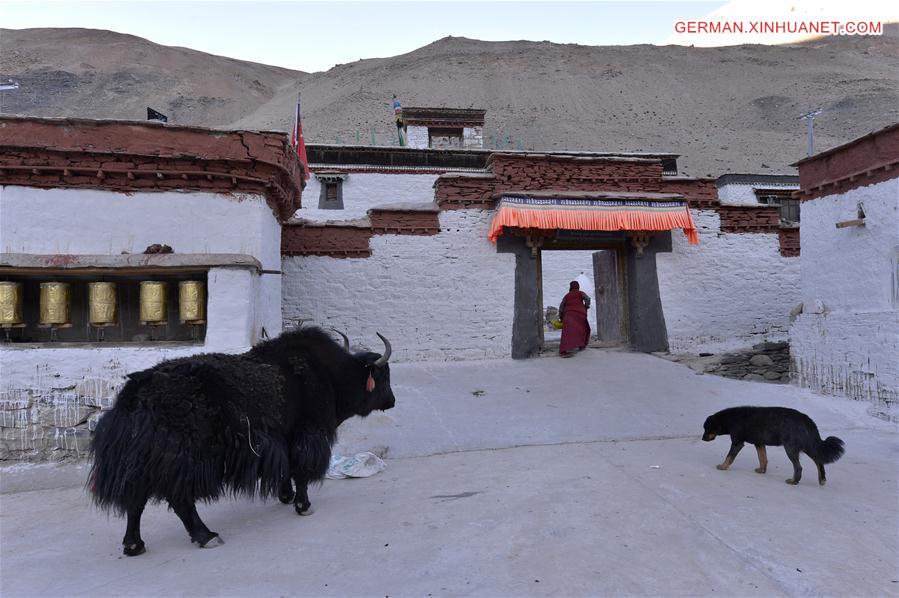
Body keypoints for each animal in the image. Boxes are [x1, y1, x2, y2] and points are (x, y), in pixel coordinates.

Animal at [704, 408, 844, 488]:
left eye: (707, 428)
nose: (702, 438)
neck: (730, 419)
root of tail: (806, 419)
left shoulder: (737, 442)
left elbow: (729, 457)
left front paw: (723, 466)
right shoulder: (759, 443)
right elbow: (763, 458)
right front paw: (762, 470)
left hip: (791, 448)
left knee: (799, 467)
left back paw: (794, 481)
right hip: (808, 445)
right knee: (818, 461)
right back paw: (822, 479)